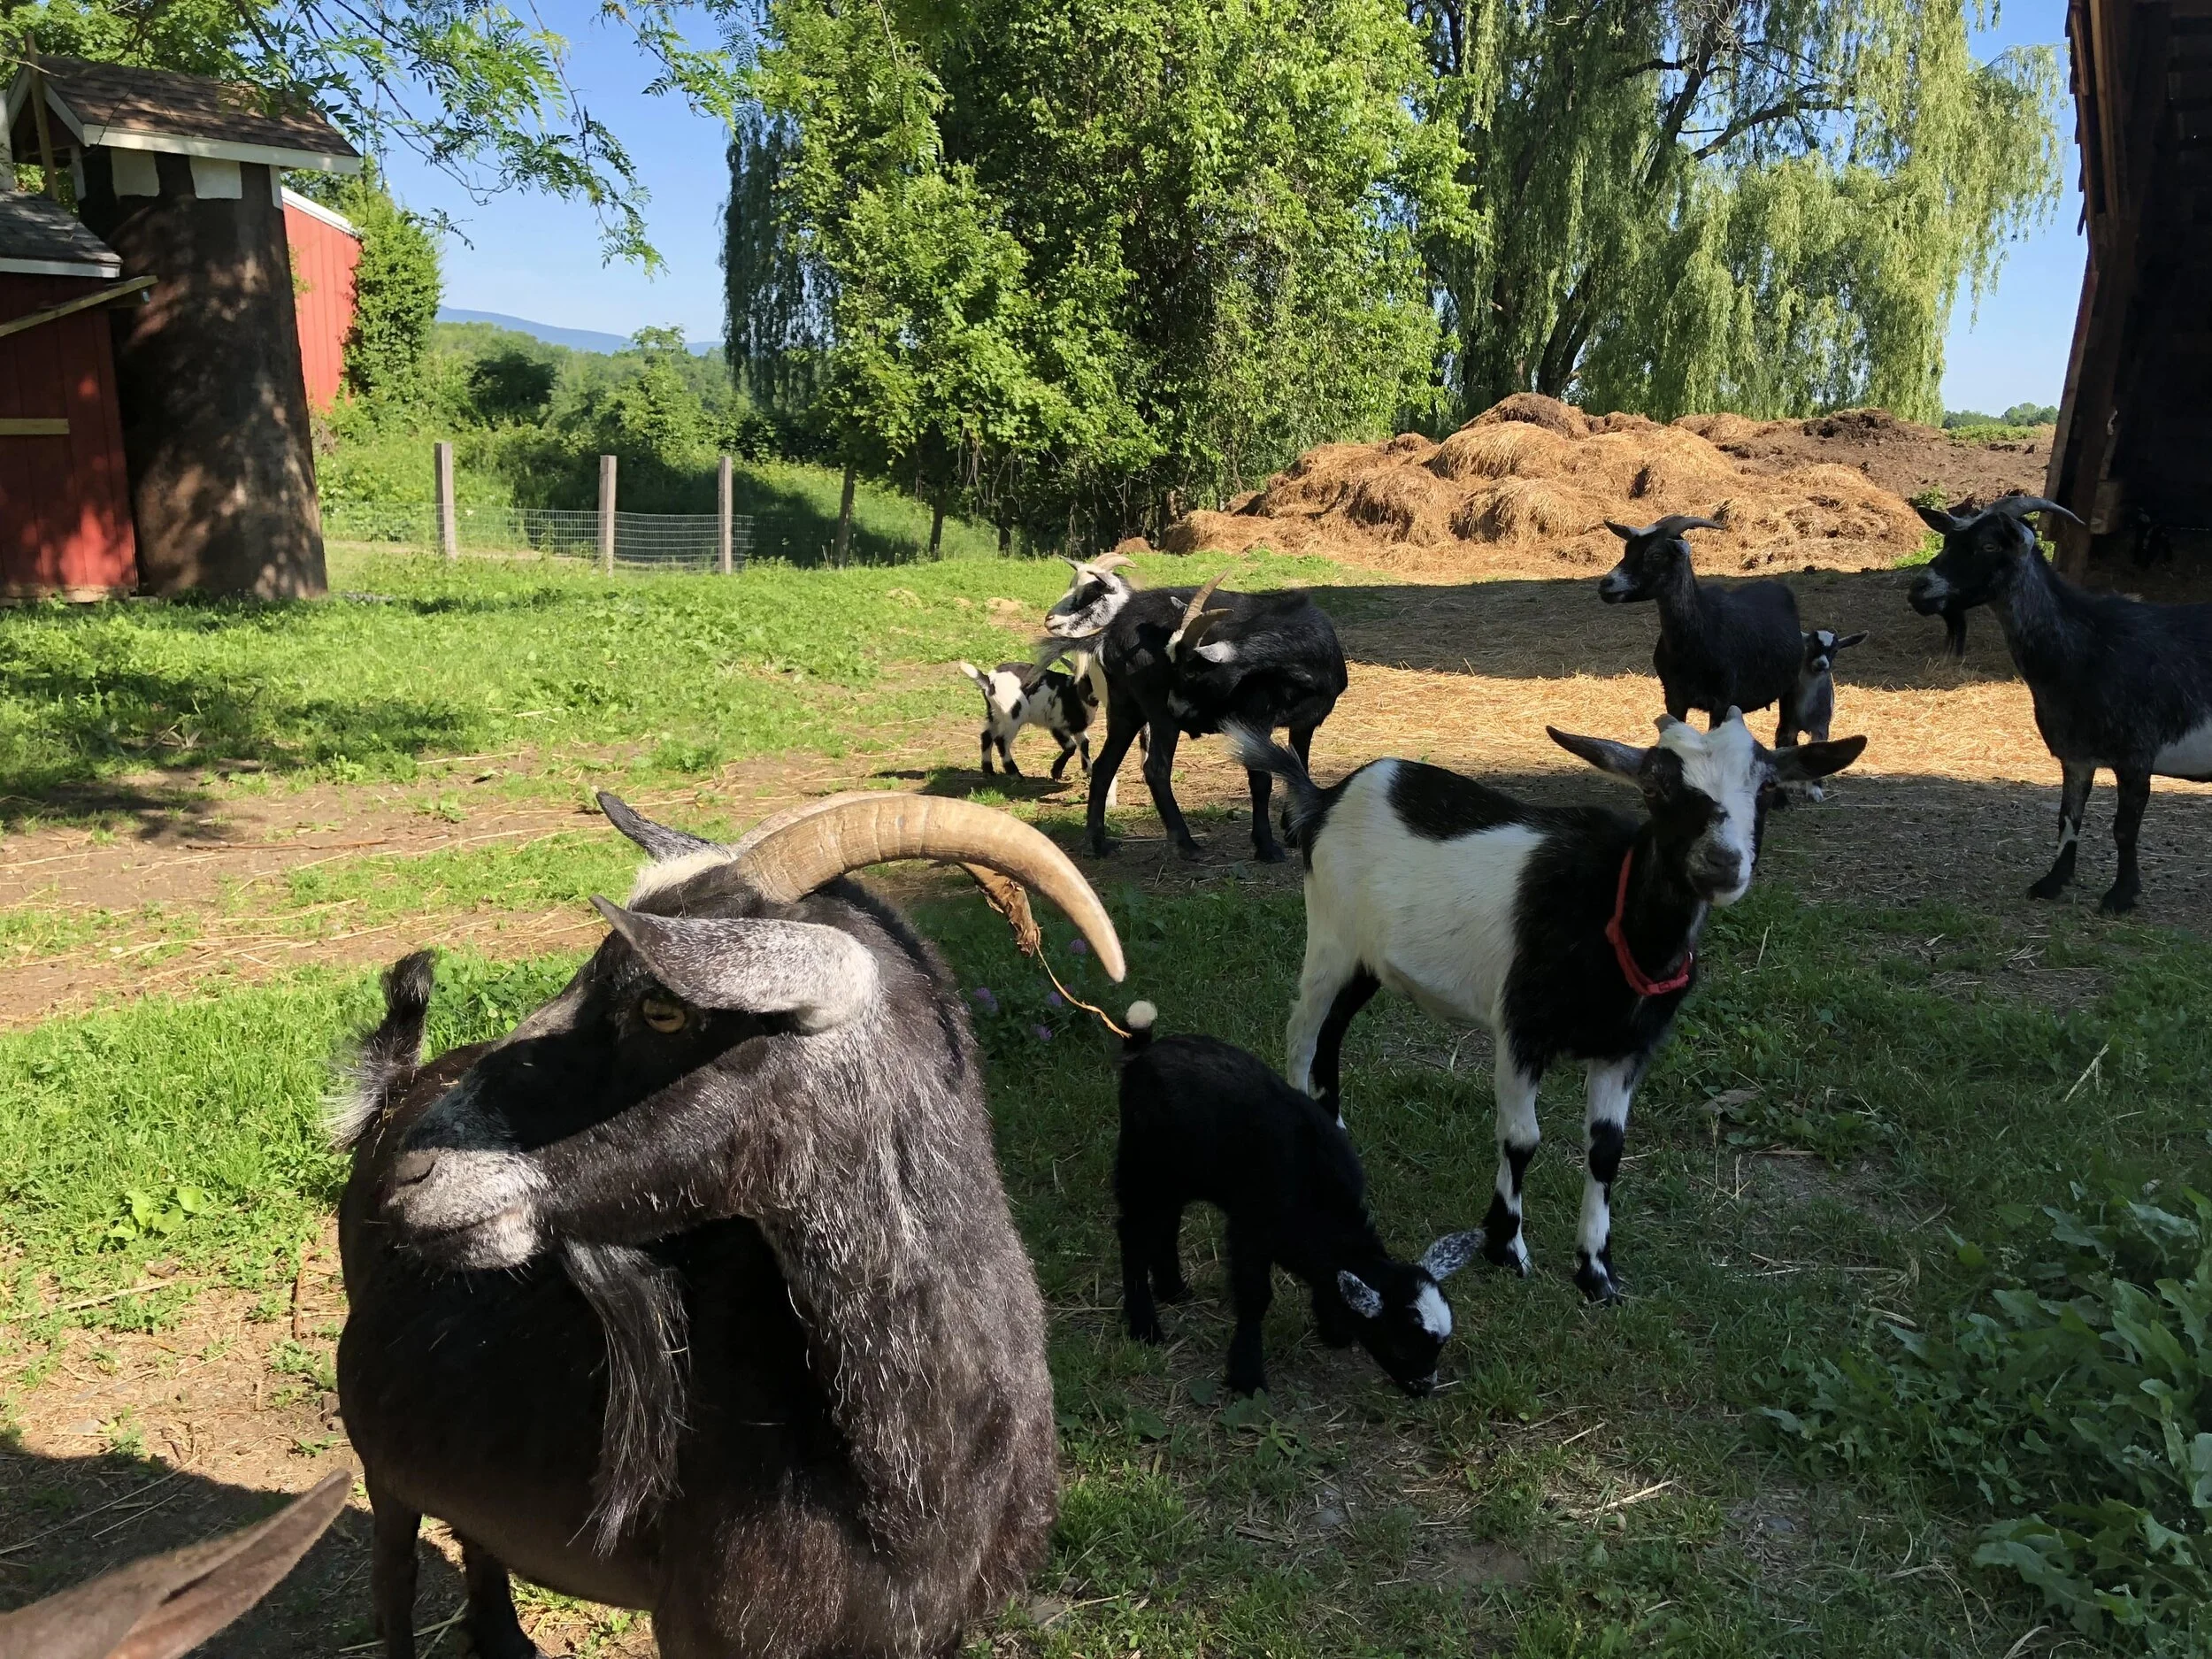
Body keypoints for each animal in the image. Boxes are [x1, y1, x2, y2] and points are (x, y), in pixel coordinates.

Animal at [336, 791, 1127, 1659]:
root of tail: (399, 1087)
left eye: (662, 1007)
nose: (413, 1172)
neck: (907, 1488)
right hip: (380, 1463)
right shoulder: (702, 1629)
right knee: (393, 1573)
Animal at [1044, 555, 1347, 862]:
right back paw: (1186, 843)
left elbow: (1299, 766)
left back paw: (1099, 842)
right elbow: (1262, 779)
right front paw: (1267, 846)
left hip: (1124, 708)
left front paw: (1293, 831)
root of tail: (1110, 633)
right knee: (1156, 768)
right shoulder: (1255, 718)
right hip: (1153, 711)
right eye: (1174, 667)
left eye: (1191, 672)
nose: (1175, 707)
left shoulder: (1306, 722)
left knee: (1105, 765)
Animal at [1115, 1001, 1483, 1397]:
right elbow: (1256, 1298)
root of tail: (1145, 1052)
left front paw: (1334, 1331)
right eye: (1400, 1346)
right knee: (1133, 1233)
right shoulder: (1250, 1231)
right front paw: (1247, 1376)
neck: (1321, 1205)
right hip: (1142, 1165)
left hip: (1178, 1176)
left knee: (1167, 1223)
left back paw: (1173, 1290)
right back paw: (1145, 1326)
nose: (1424, 1389)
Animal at [1231, 714, 1864, 1304]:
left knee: (1334, 1031)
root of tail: (1326, 797)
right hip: (1330, 939)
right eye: (1655, 787)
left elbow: (1607, 1150)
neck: (1612, 914)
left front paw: (1596, 1273)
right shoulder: (1521, 1031)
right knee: (1303, 1031)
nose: (1721, 864)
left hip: (1368, 961)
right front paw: (1506, 1247)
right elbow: (1522, 1138)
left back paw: (1336, 1130)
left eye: (1768, 787)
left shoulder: (1626, 1050)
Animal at [1909, 494, 2212, 914]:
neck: (2089, 646)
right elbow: (2068, 818)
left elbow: (2124, 828)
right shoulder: (2076, 755)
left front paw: (2120, 896)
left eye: (1989, 546)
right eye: (1947, 540)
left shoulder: (2136, 753)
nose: (1919, 590)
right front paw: (2052, 882)